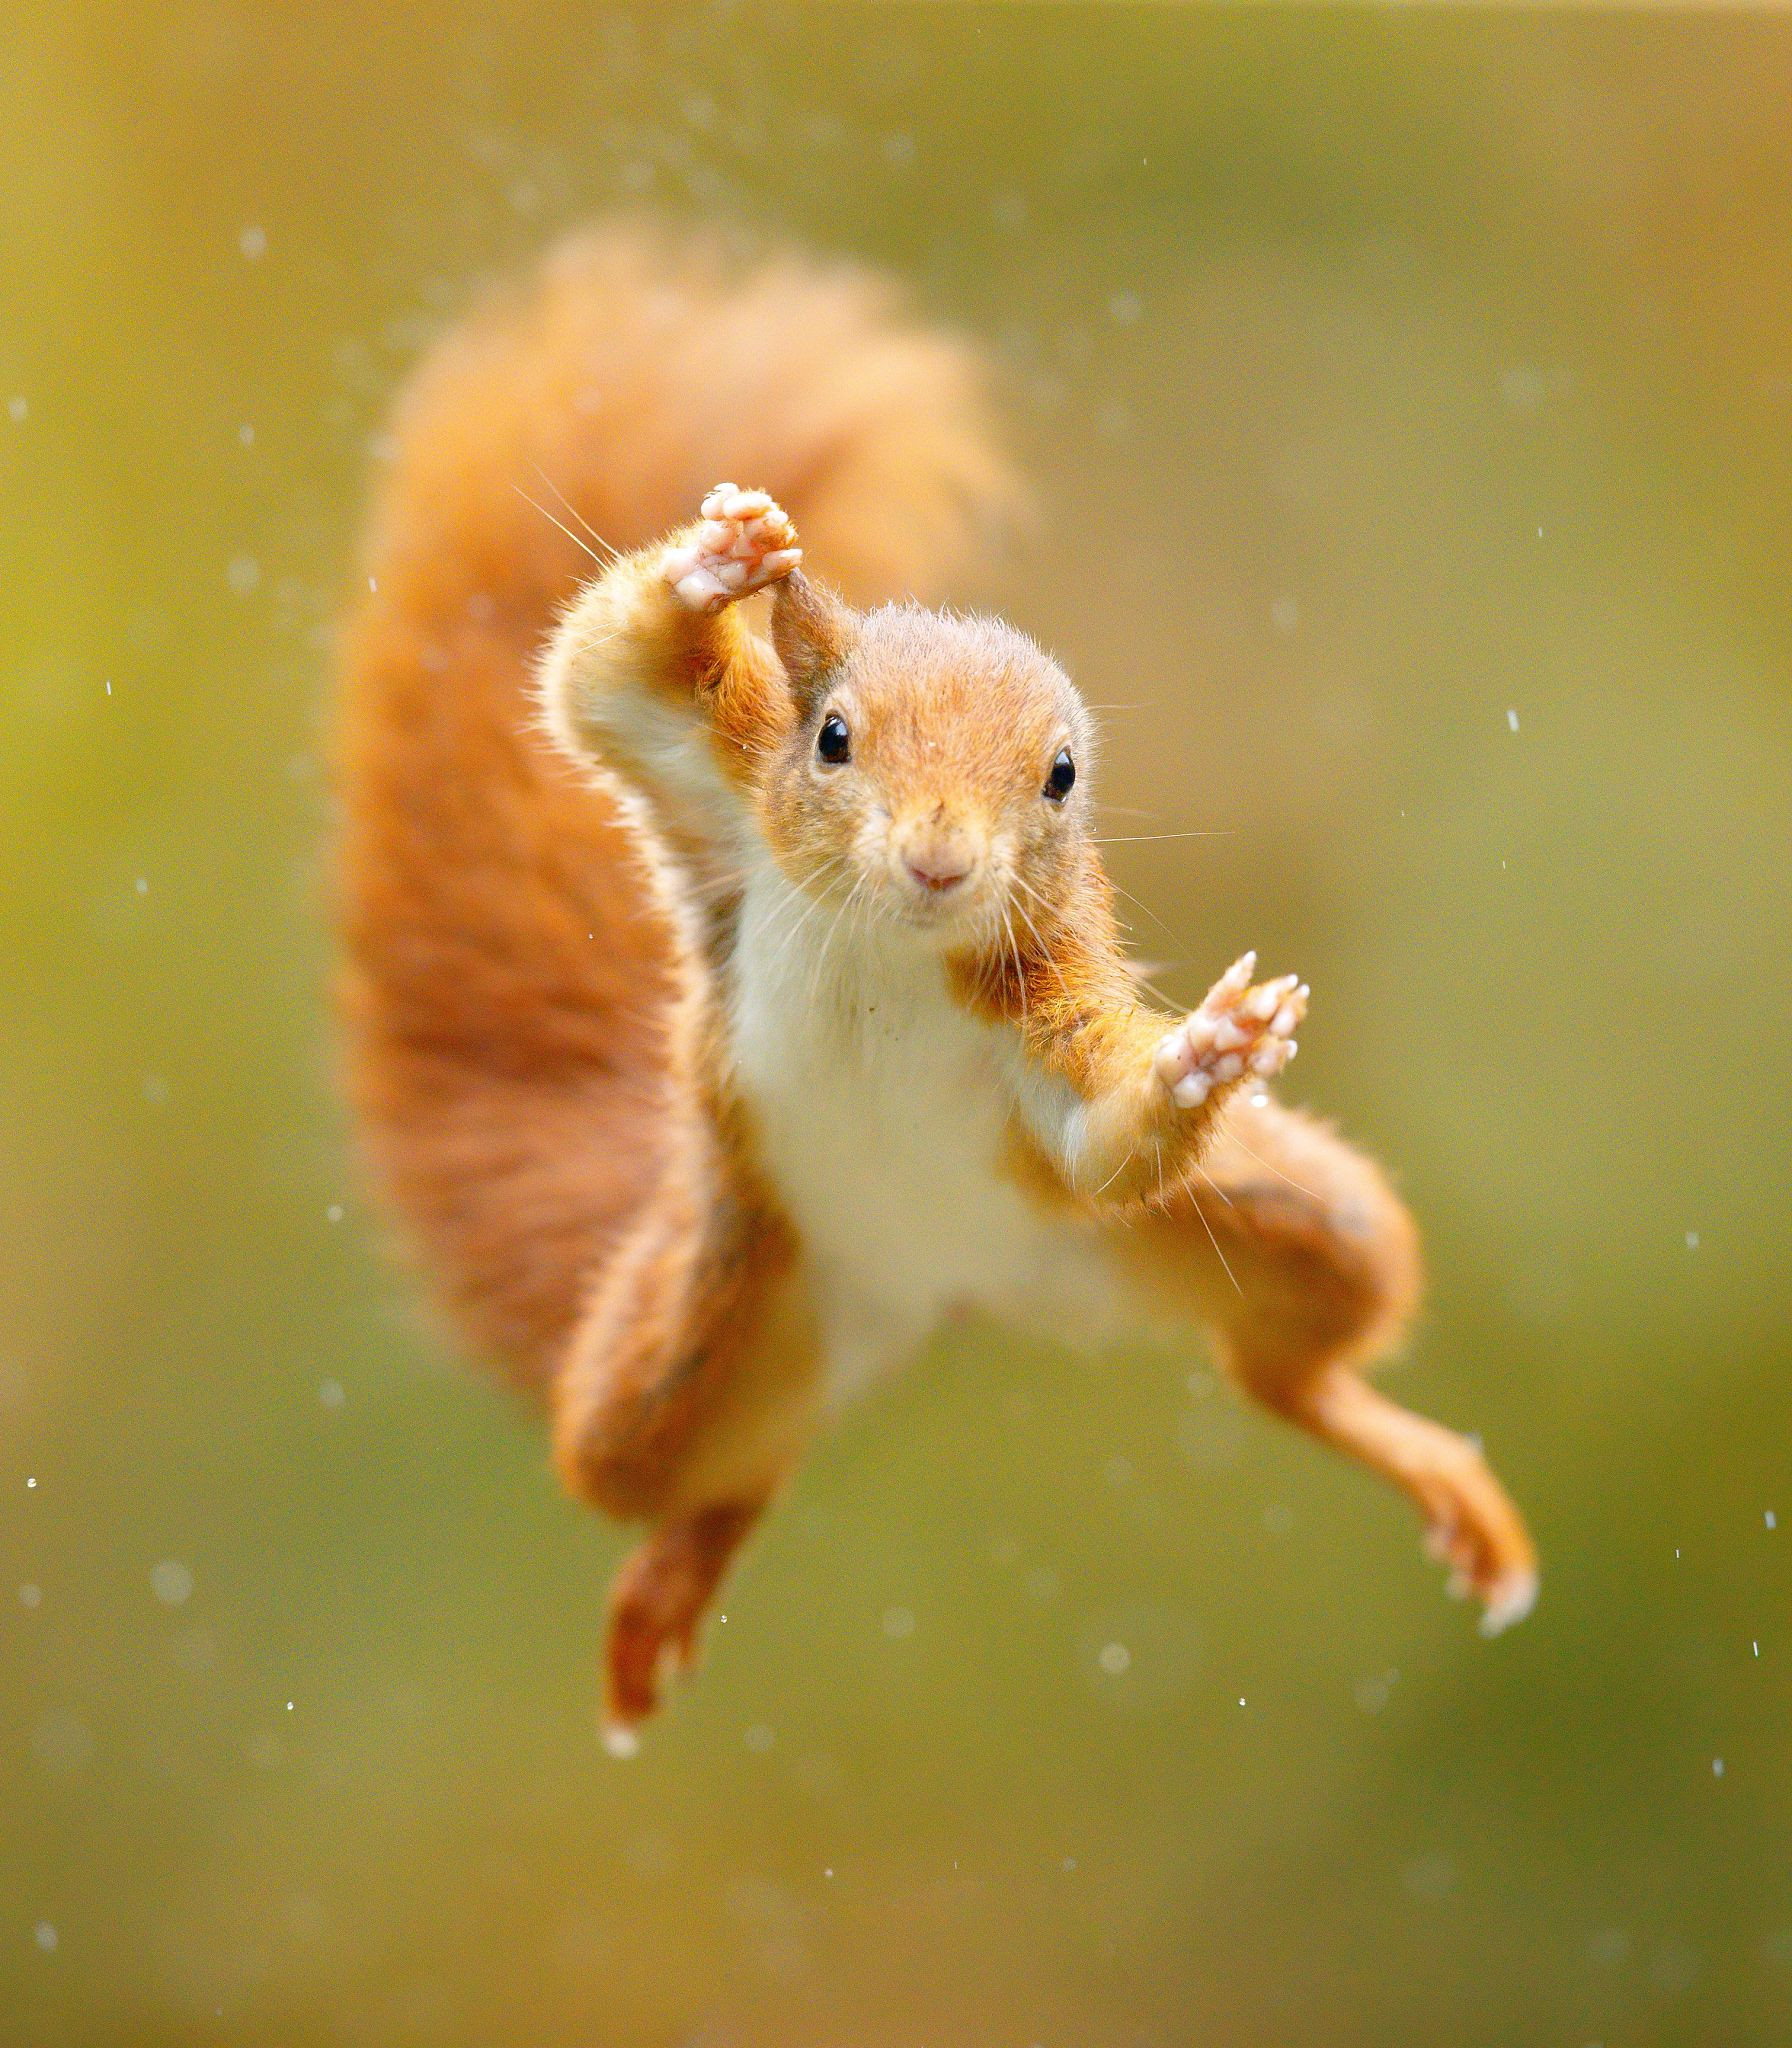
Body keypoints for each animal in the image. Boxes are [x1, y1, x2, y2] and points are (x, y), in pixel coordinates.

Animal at [339, 228, 1540, 1761]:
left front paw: (1204, 1054)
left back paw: (1420, 1461)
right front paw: (717, 565)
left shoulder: (1042, 1026)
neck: (894, 952)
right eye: (833, 736)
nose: (936, 858)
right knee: (703, 1474)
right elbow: (601, 678)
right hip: (688, 1351)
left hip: (1259, 1228)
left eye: (1062, 775)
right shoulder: (714, 788)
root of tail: (942, 1294)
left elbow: (1102, 1136)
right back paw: (671, 1578)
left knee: (1283, 1368)